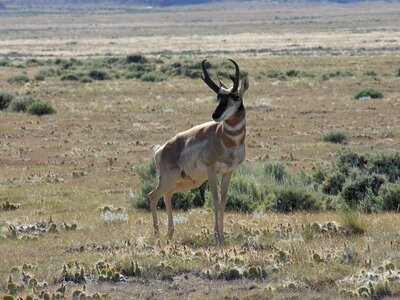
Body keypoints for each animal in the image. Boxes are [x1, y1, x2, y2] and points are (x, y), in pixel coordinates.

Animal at [148, 59, 248, 244]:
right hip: (170, 178)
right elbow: (215, 200)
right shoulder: (211, 171)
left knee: (167, 194)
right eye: (218, 97)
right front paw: (217, 236)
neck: (225, 139)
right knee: (153, 195)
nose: (216, 115)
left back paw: (170, 233)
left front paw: (223, 236)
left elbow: (224, 200)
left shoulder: (228, 172)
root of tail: (161, 149)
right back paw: (157, 235)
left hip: (189, 182)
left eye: (236, 97)